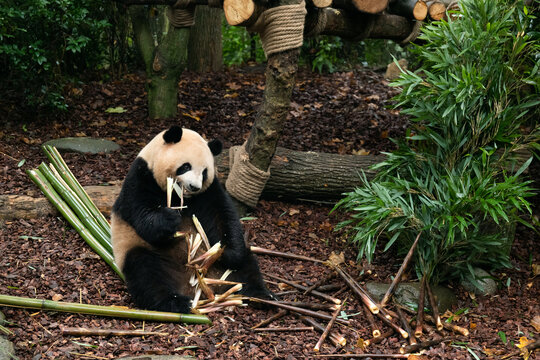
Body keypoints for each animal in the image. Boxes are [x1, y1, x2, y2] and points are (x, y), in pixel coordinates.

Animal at [113, 126, 274, 312]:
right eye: (185, 166)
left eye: (204, 172)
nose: (194, 187)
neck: (181, 197)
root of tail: (198, 286)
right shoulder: (141, 179)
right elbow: (142, 216)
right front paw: (170, 218)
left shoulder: (209, 191)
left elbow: (221, 217)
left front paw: (227, 252)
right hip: (143, 252)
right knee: (147, 274)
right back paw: (176, 302)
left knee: (247, 266)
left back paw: (262, 296)